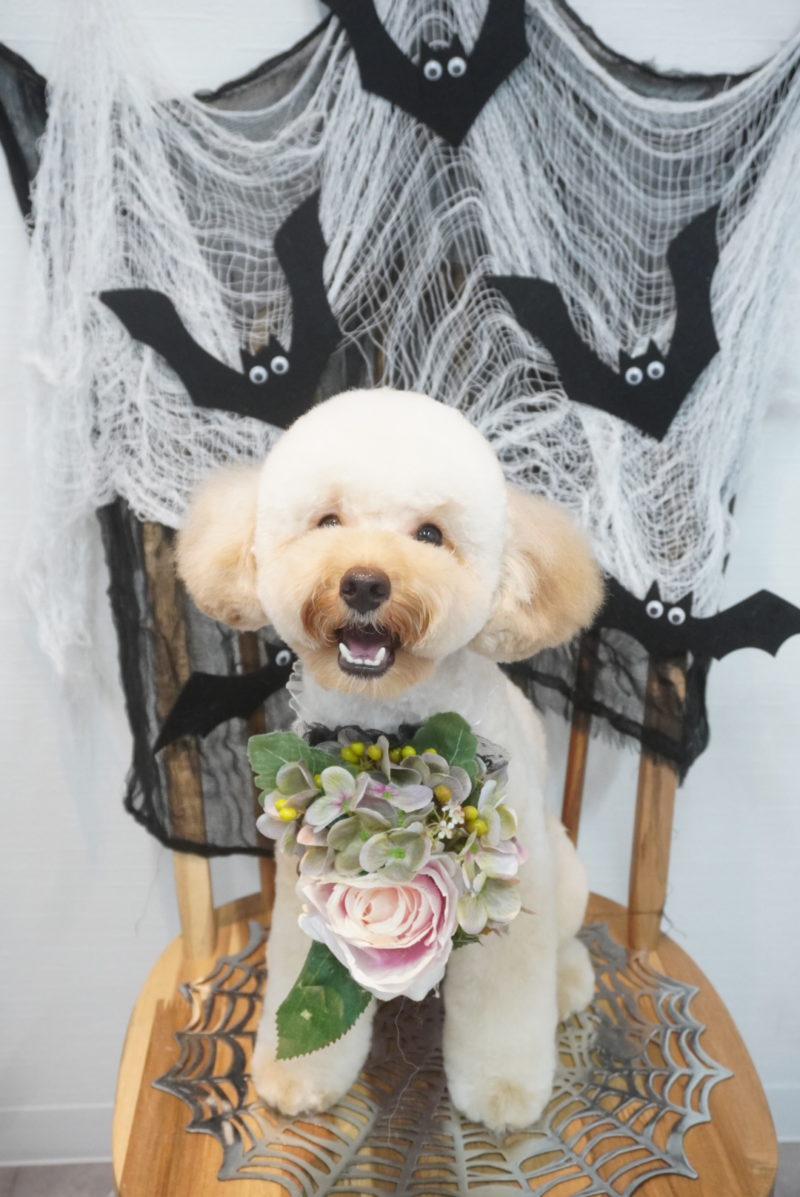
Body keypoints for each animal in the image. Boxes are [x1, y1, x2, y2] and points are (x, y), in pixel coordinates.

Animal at [176, 387, 602, 1133]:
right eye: (327, 521)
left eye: (430, 535)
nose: (365, 583)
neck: (384, 722)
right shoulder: (301, 881)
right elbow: (299, 976)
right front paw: (299, 1076)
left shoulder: (509, 890)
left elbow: (506, 998)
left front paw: (502, 1090)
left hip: (563, 872)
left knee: (562, 944)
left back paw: (569, 982)